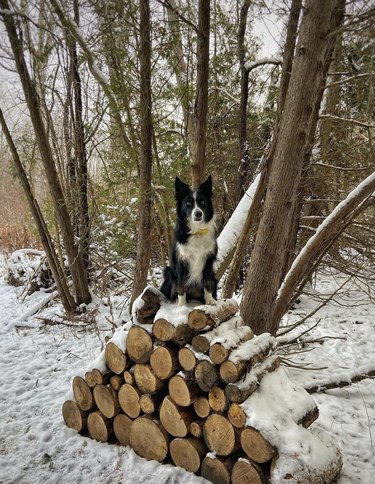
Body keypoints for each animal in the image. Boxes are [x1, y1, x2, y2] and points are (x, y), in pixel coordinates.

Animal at [160, 176, 219, 306]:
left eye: (202, 202)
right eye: (188, 204)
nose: (198, 213)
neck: (197, 231)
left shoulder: (208, 260)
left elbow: (207, 282)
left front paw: (210, 300)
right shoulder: (181, 261)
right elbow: (181, 286)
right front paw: (182, 306)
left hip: (214, 278)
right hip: (168, 272)